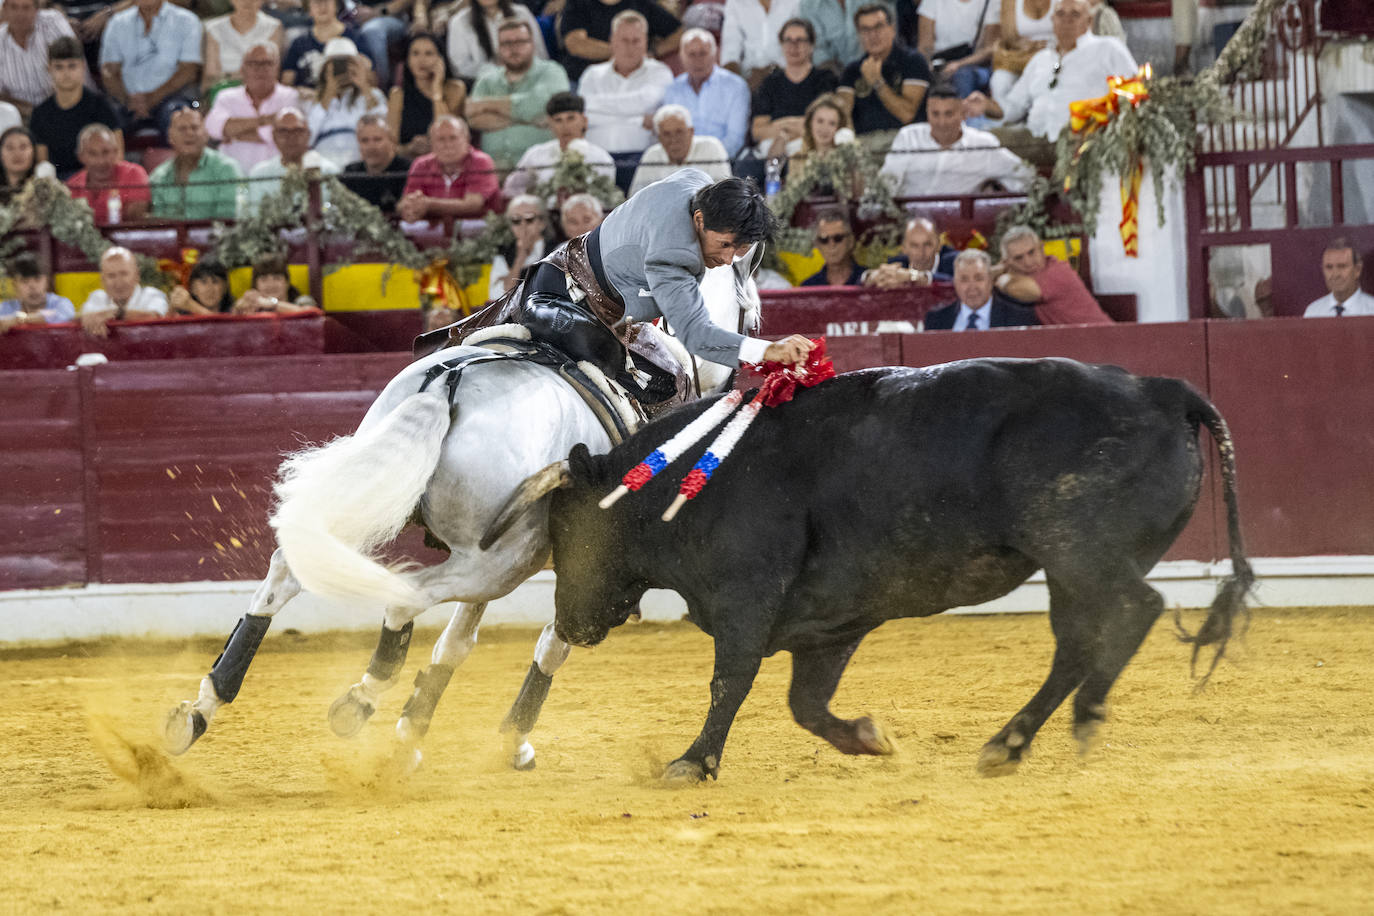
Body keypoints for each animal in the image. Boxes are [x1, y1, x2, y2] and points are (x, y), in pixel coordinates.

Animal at [163, 248, 763, 769]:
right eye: (752, 316)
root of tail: (446, 384)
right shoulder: (588, 566)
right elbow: (551, 645)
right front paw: (509, 739)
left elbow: (456, 645)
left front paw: (413, 732)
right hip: (500, 561)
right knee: (403, 596)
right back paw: (358, 700)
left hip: (388, 499)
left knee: (287, 574)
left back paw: (202, 707)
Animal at [486, 357, 1258, 780]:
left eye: (565, 530)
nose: (568, 622)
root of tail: (1161, 389)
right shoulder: (831, 625)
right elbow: (805, 704)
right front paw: (869, 738)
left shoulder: (746, 601)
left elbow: (730, 681)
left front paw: (691, 763)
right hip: (1069, 569)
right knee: (1076, 643)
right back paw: (1008, 744)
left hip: (1078, 548)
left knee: (1134, 611)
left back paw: (1085, 718)